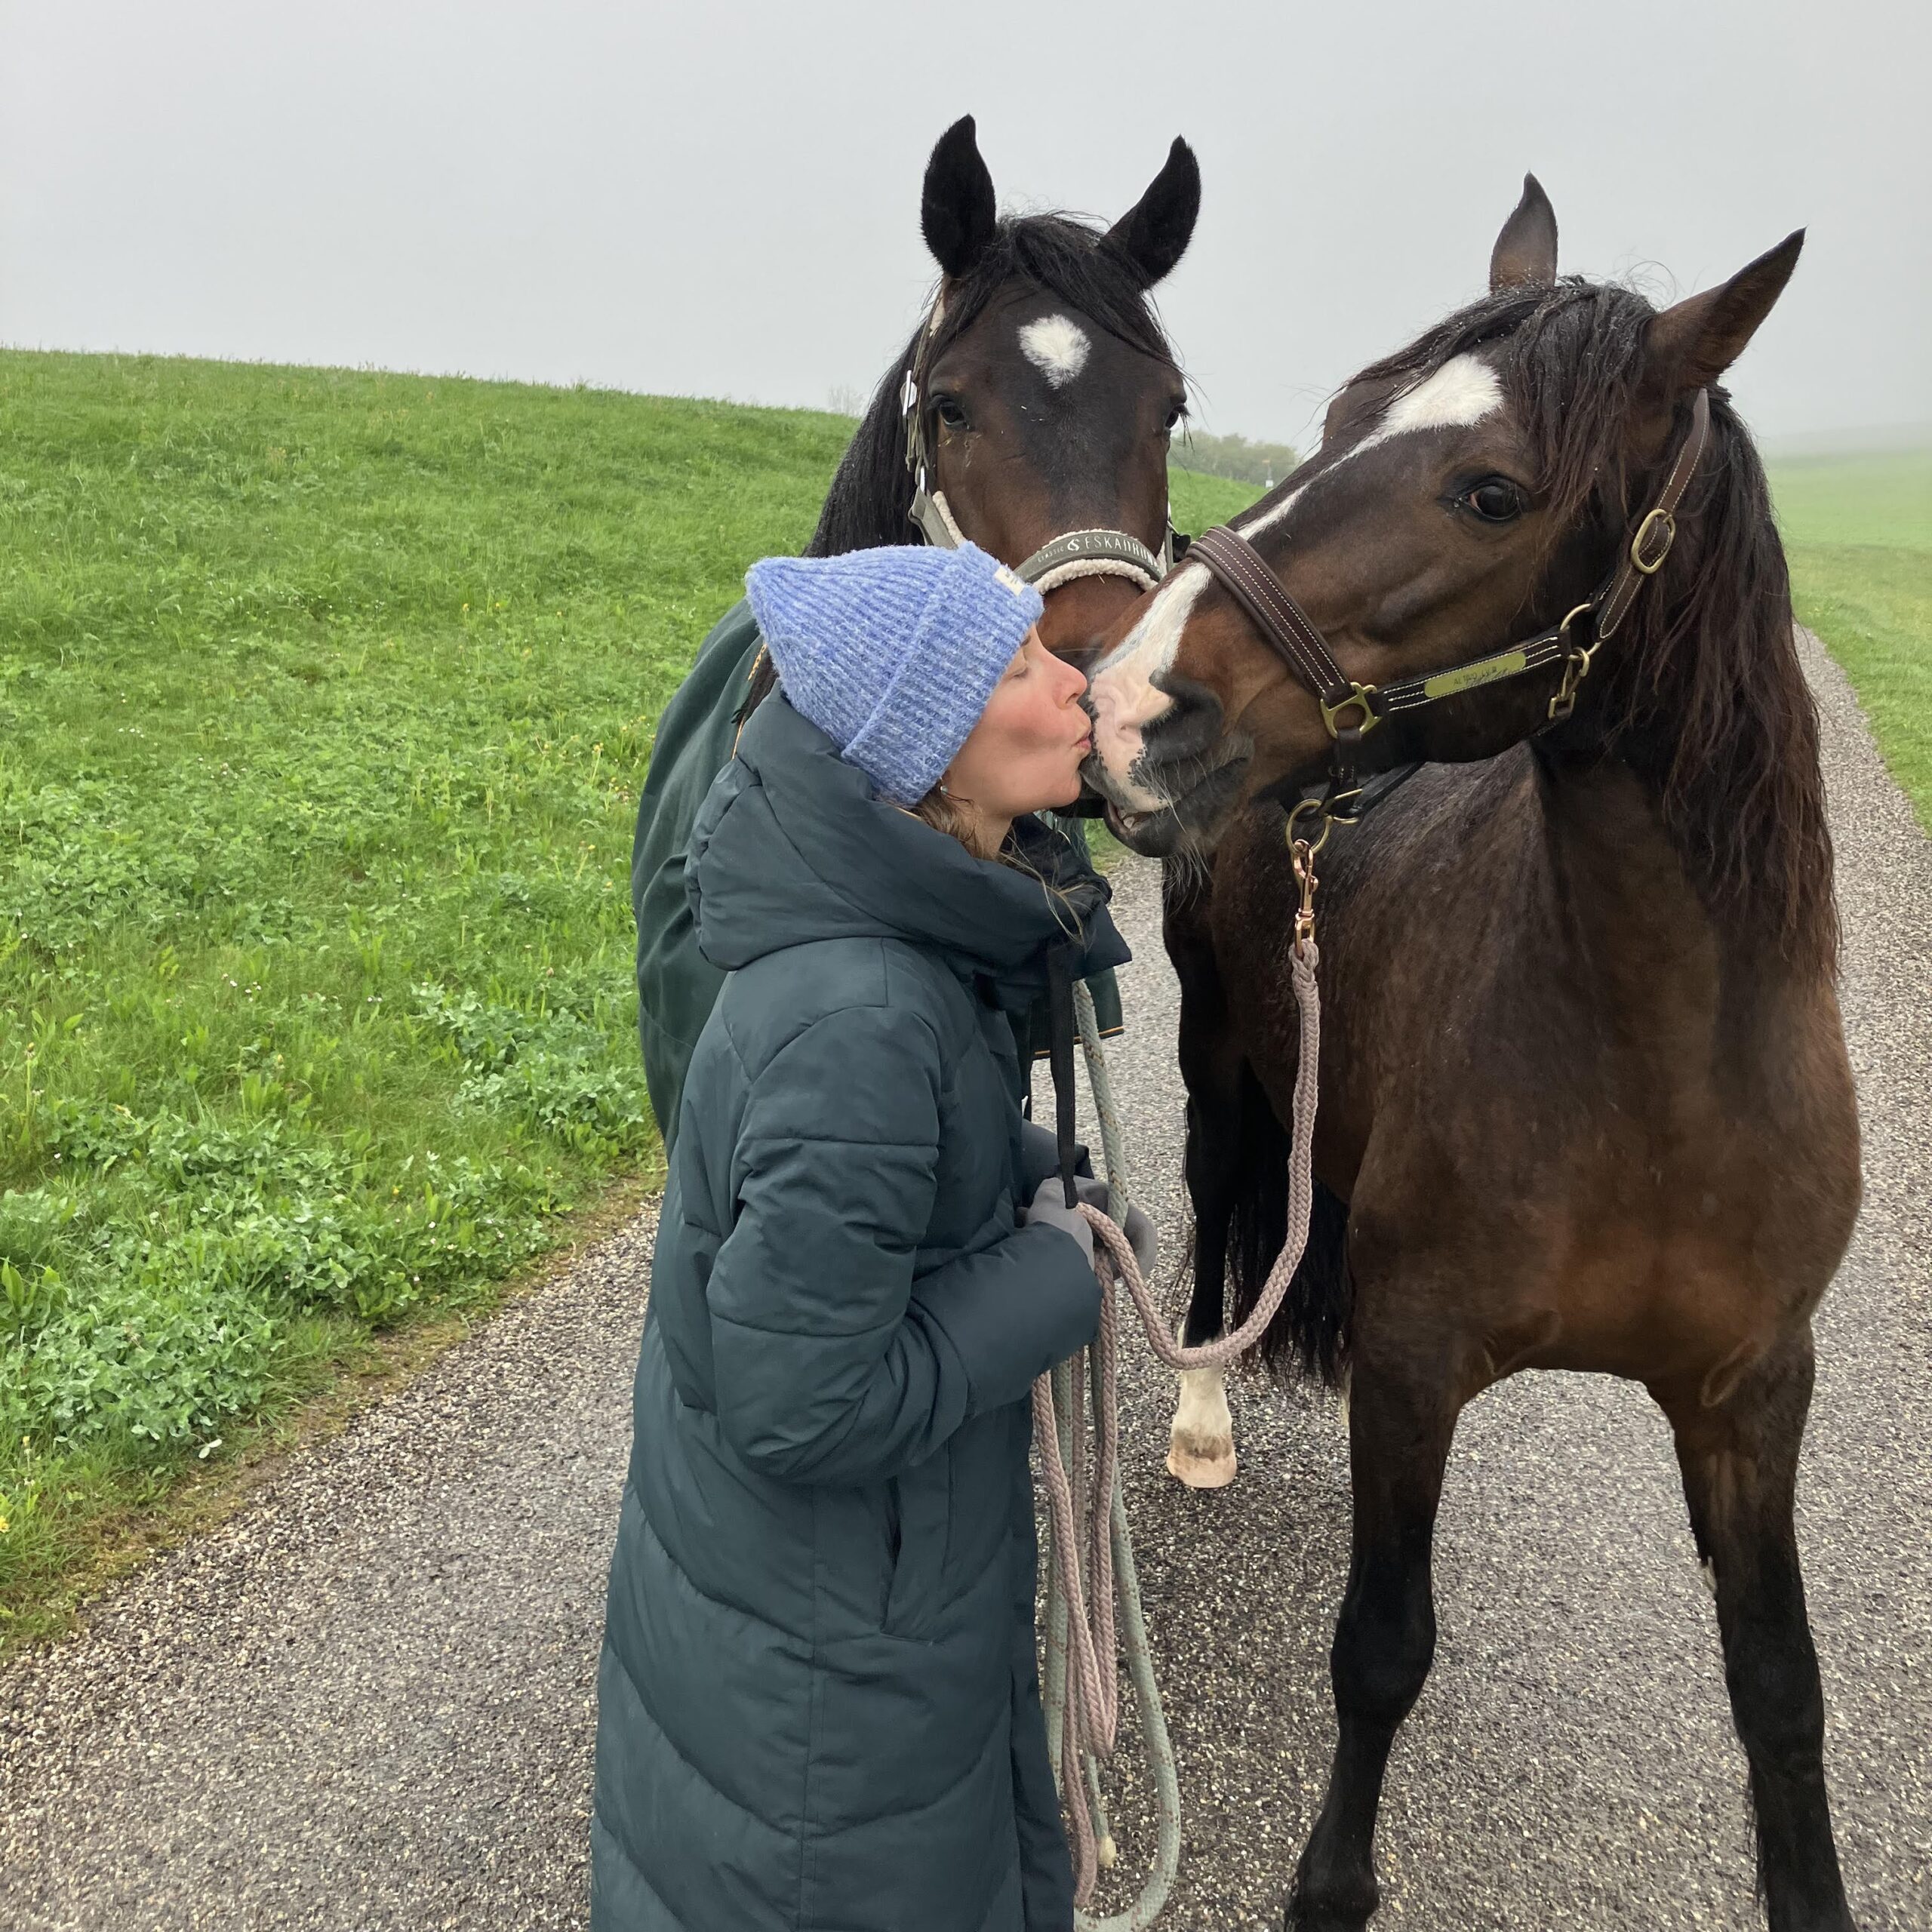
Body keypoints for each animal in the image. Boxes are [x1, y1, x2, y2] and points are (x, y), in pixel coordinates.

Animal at [1083, 180, 1861, 1932]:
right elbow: (1379, 1653)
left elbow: (1779, 1693)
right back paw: (1204, 1408)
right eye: (1331, 425)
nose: (1122, 705)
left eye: (1490, 491)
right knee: (1218, 1203)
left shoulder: (1752, 1393)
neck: (1652, 1069)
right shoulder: (1414, 1358)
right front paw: (1325, 1885)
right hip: (1224, 1059)